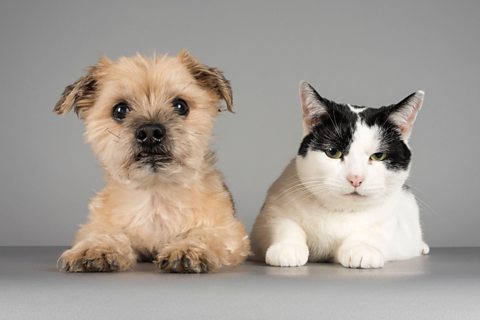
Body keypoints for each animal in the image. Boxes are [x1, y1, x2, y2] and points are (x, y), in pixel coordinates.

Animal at [54, 50, 251, 272]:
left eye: (180, 106)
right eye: (120, 110)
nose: (149, 132)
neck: (155, 192)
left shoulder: (230, 231)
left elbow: (206, 234)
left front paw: (188, 249)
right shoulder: (98, 224)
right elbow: (103, 233)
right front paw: (96, 248)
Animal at [253, 82, 430, 268]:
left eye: (378, 156)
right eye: (333, 152)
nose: (356, 178)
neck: (339, 211)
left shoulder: (390, 224)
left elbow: (374, 234)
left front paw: (362, 249)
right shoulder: (270, 213)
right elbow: (283, 224)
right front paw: (288, 248)